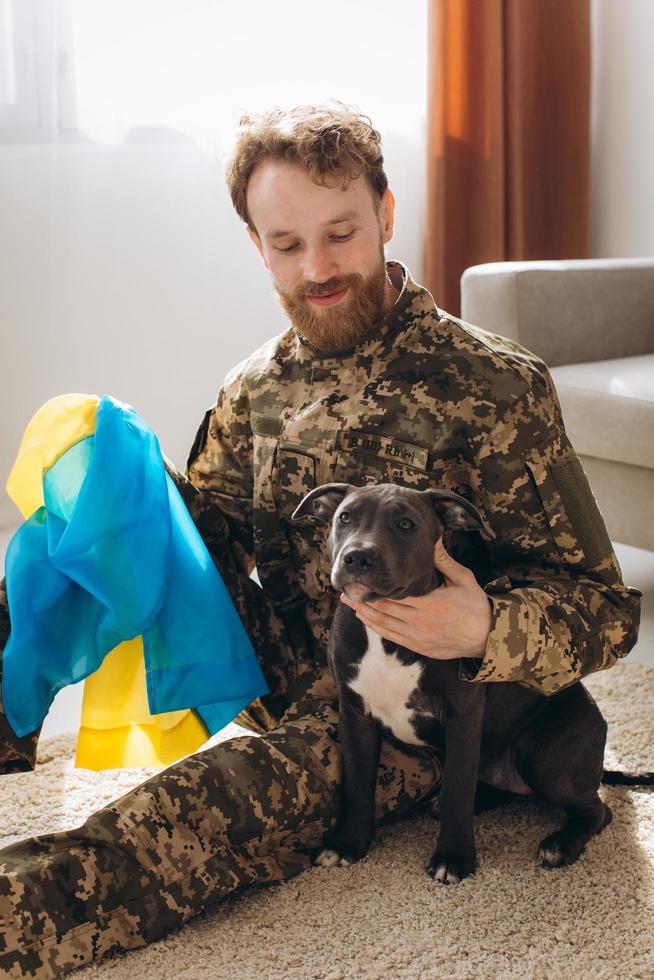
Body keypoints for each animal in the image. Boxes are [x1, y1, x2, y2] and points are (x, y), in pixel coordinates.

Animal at [294, 480, 624, 880]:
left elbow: (457, 790)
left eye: (406, 524)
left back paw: (560, 844)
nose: (357, 557)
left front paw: (453, 858)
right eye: (345, 518)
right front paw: (347, 845)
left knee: (597, 810)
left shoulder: (462, 718)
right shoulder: (355, 715)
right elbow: (358, 784)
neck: (385, 633)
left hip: (544, 754)